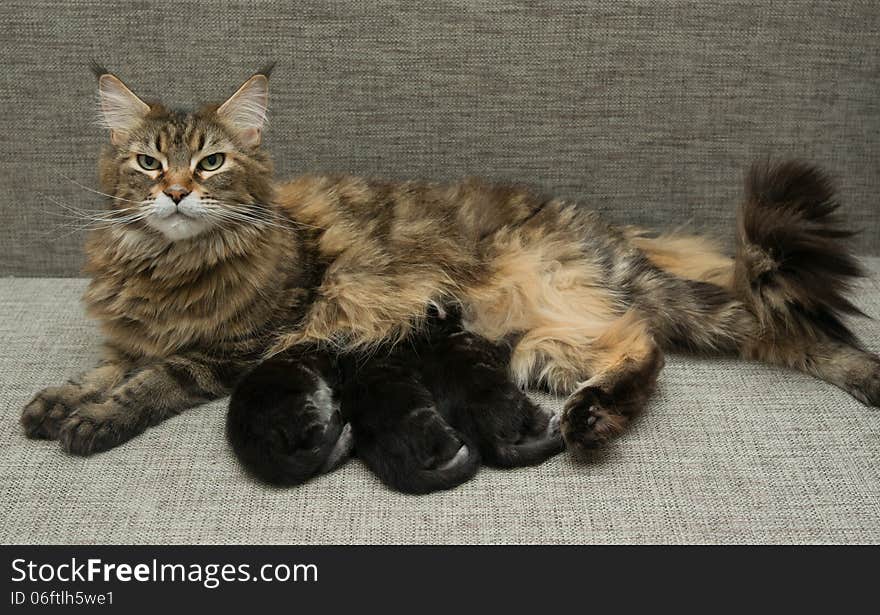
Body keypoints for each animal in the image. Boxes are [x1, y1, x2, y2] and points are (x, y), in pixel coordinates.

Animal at [20, 67, 880, 490]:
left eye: (210, 163)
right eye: (146, 162)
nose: (173, 192)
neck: (167, 266)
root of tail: (602, 229)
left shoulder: (238, 347)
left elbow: (151, 377)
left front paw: (92, 421)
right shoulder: (135, 335)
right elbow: (107, 363)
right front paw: (57, 400)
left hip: (554, 307)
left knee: (670, 344)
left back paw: (596, 419)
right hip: (542, 342)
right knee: (638, 347)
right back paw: (595, 415)